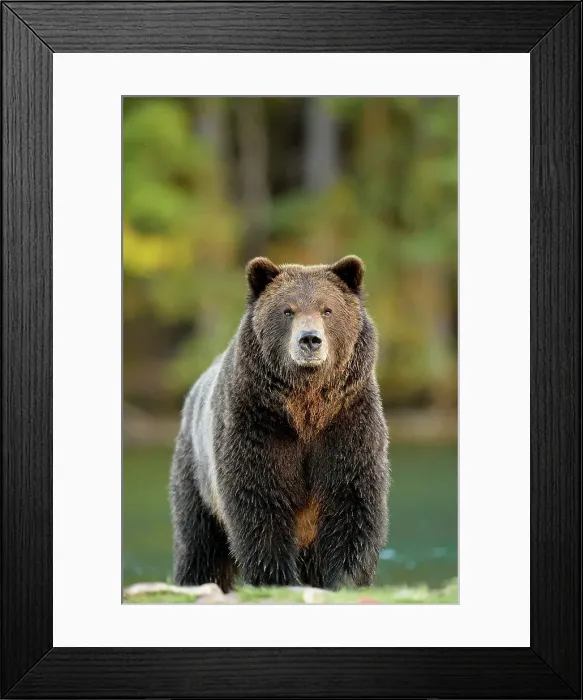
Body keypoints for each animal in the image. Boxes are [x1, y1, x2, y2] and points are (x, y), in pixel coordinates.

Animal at [170, 255, 389, 592]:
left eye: (327, 309)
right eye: (288, 310)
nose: (310, 339)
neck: (306, 409)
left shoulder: (348, 423)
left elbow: (353, 501)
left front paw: (345, 580)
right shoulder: (257, 425)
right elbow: (260, 503)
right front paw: (277, 579)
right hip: (196, 474)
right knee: (200, 546)